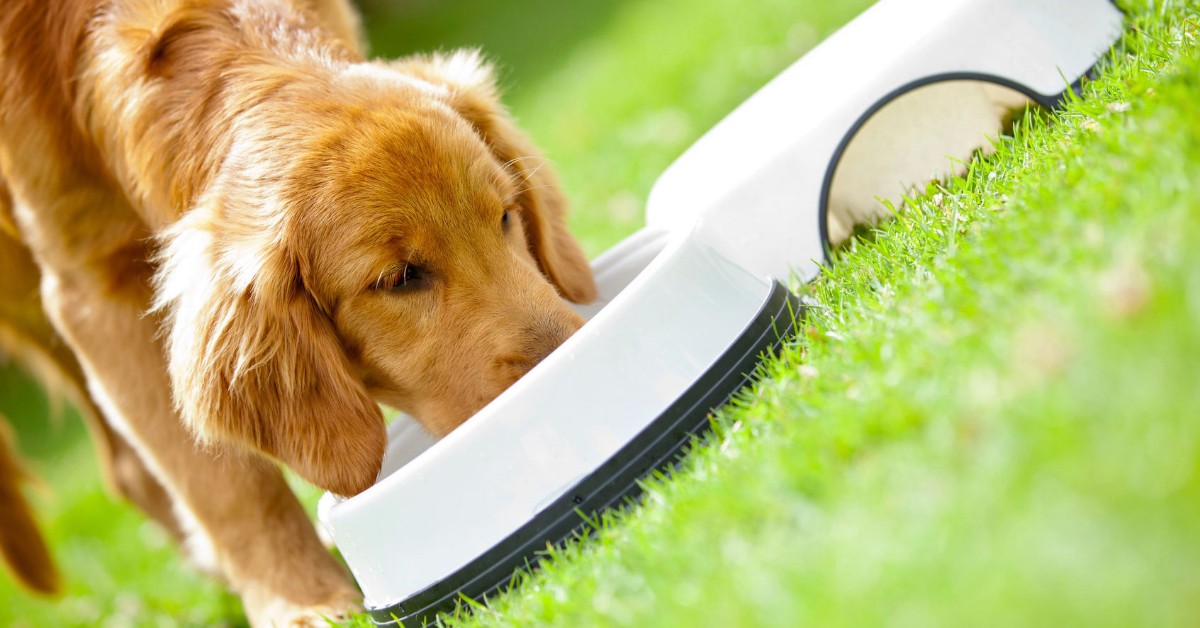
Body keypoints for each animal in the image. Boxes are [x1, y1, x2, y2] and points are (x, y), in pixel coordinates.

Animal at [0, 0, 595, 624]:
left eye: (505, 215)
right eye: (399, 278)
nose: (569, 372)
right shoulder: (91, 289)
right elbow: (226, 482)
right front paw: (301, 600)